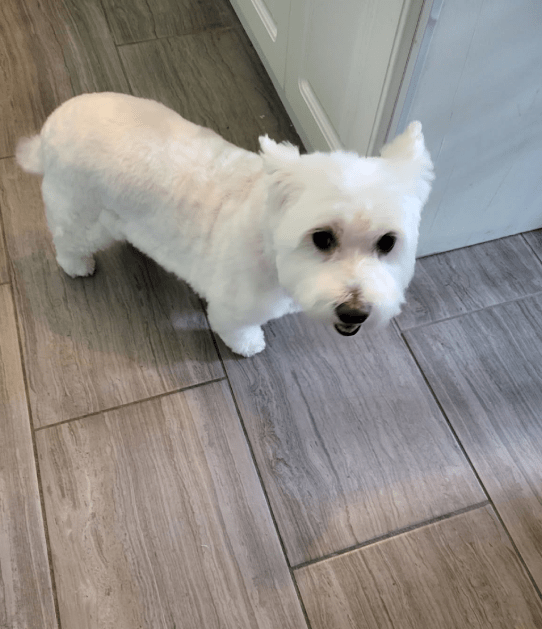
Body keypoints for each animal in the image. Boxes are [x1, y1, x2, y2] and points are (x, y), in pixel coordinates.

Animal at [16, 92, 433, 357]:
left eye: (387, 243)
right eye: (322, 238)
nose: (355, 312)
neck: (268, 238)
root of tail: (51, 125)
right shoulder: (233, 307)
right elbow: (237, 329)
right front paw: (249, 345)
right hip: (80, 209)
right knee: (68, 240)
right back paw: (76, 265)